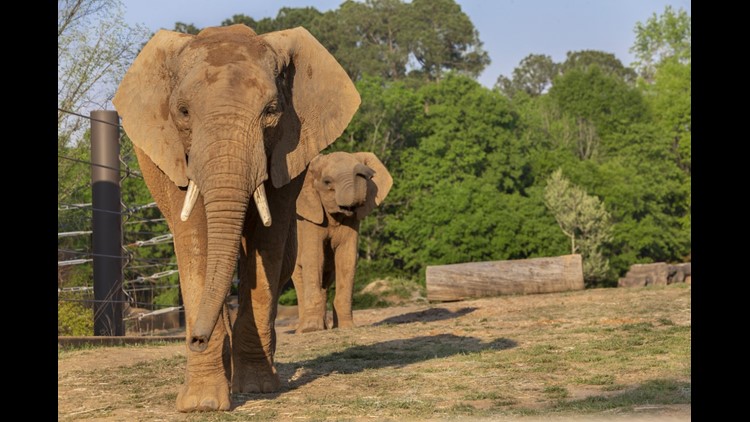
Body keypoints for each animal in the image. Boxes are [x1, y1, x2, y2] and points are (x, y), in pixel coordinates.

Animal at [112, 24, 364, 410]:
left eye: (272, 110)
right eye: (182, 112)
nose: (195, 340)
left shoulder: (286, 153)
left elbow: (267, 242)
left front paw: (258, 388)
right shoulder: (173, 154)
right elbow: (194, 238)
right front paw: (202, 404)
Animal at [290, 152, 394, 332]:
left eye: (369, 177)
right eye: (327, 182)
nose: (366, 172)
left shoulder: (353, 221)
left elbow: (347, 259)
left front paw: (347, 327)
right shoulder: (308, 220)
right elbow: (314, 258)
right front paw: (312, 329)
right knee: (299, 275)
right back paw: (303, 330)